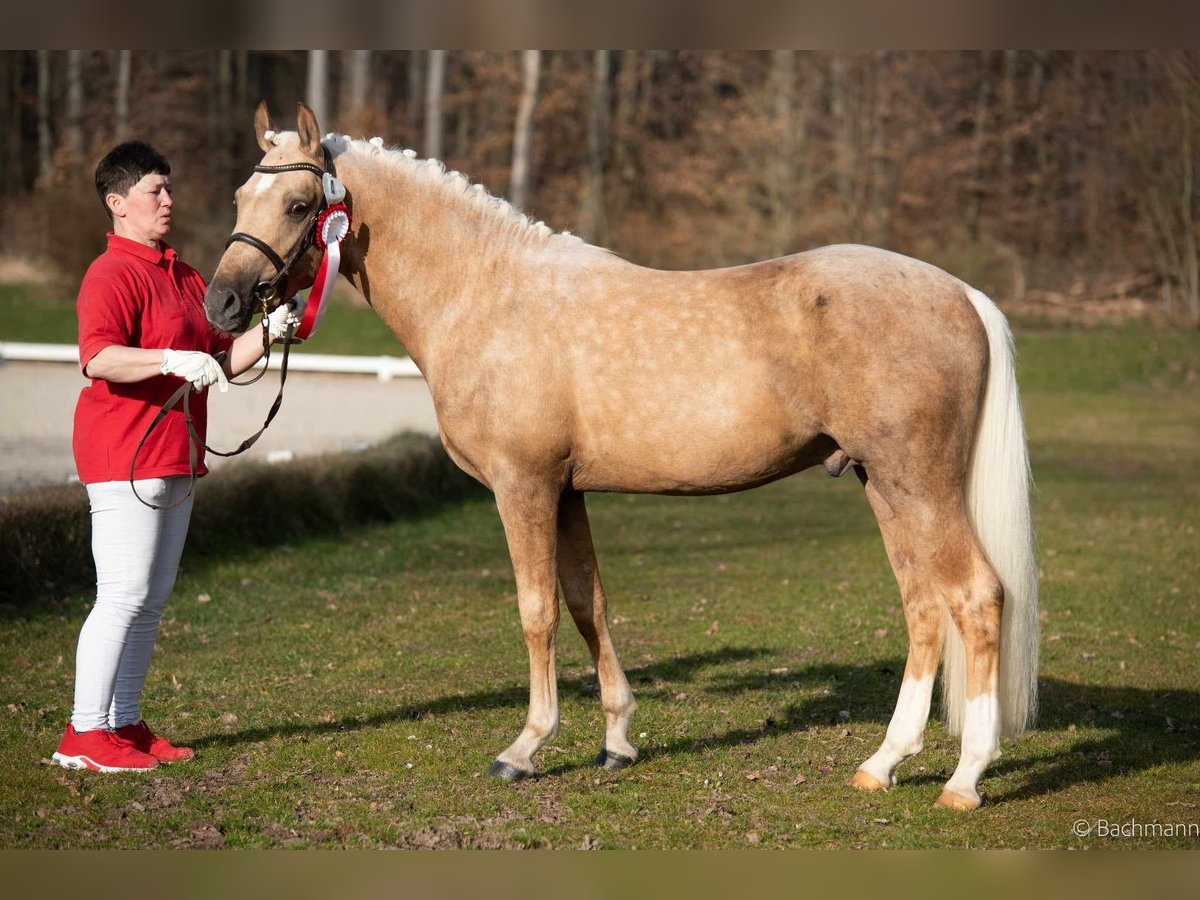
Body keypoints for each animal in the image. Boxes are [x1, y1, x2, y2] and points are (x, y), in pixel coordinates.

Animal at [208, 102, 1041, 816]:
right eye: (242, 195)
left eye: (298, 206)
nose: (222, 306)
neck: (489, 294)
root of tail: (960, 293)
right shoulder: (567, 491)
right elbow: (589, 604)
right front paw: (617, 740)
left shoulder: (523, 487)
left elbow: (538, 610)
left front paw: (526, 747)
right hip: (885, 484)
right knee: (923, 604)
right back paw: (883, 764)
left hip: (920, 484)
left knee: (975, 596)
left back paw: (964, 779)